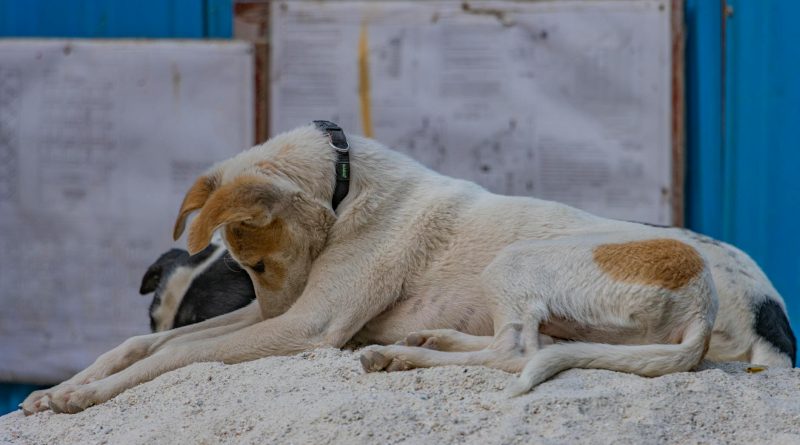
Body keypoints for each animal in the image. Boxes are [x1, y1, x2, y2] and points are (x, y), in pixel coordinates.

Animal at [22, 122, 795, 414]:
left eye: (259, 260)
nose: (269, 306)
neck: (346, 183)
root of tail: (708, 303)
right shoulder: (278, 315)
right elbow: (148, 344)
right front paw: (62, 387)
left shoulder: (305, 325)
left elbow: (176, 358)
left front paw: (81, 397)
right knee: (517, 345)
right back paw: (415, 346)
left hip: (520, 261)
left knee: (517, 352)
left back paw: (405, 353)